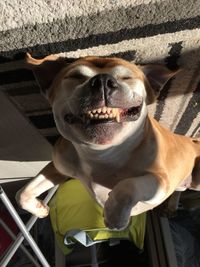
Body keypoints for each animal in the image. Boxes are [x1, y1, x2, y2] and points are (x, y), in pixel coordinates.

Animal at [16, 54, 200, 230]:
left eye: (127, 77)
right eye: (75, 76)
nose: (102, 80)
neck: (101, 154)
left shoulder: (162, 180)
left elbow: (128, 186)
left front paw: (115, 214)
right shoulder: (59, 167)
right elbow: (22, 193)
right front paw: (40, 209)